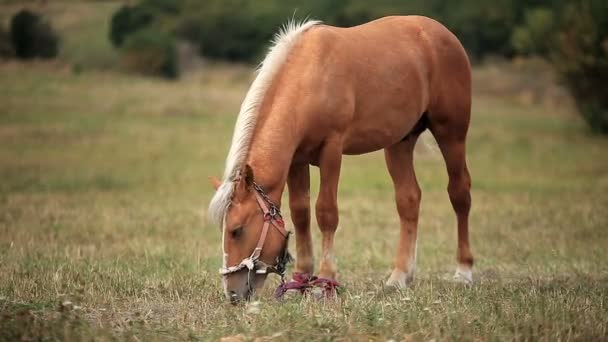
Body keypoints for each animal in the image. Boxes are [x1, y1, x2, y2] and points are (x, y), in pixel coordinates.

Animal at [209, 16, 476, 302]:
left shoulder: (331, 151)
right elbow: (300, 213)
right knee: (409, 200)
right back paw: (400, 277)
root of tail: (441, 33)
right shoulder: (297, 160)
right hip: (399, 143)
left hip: (451, 134)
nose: (233, 293)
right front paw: (301, 280)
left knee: (459, 194)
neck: (309, 78)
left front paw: (325, 282)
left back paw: (463, 272)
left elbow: (326, 212)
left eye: (237, 230)